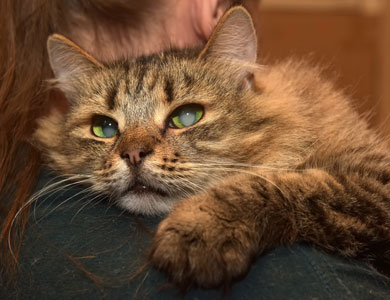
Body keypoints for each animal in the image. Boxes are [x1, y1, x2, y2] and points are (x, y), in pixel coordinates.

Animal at [34, 6, 390, 288]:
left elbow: (273, 186)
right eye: (104, 128)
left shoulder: (375, 180)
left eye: (187, 117)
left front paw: (200, 229)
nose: (133, 154)